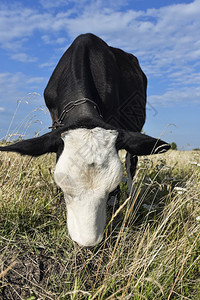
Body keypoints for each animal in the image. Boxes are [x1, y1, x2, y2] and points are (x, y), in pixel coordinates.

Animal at [0, 34, 170, 247]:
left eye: (112, 185)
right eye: (63, 186)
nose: (87, 242)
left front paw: (114, 200)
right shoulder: (55, 120)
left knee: (131, 162)